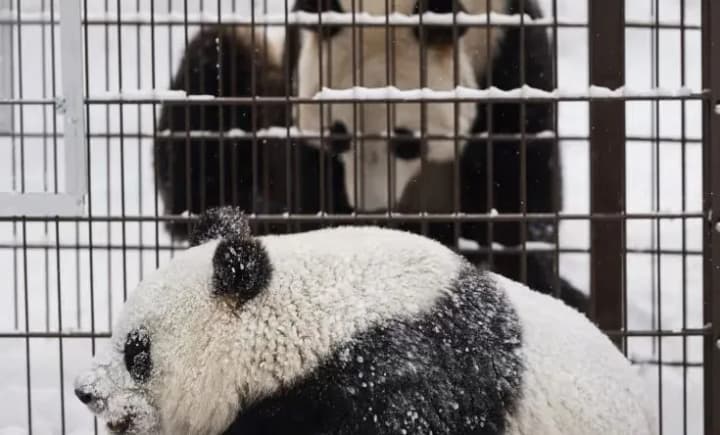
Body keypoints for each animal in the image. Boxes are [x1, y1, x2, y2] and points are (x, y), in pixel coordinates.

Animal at [152, 1, 586, 311]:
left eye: (407, 142)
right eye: (339, 137)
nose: (371, 208)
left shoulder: (508, 45)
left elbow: (519, 185)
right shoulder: (299, 63)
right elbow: (307, 189)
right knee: (217, 61)